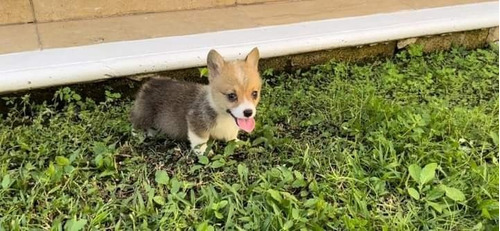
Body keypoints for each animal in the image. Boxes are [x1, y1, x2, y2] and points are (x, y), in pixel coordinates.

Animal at [130, 47, 262, 154]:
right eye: (231, 95)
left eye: (254, 93)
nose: (248, 112)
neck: (221, 113)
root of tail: (149, 83)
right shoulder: (196, 123)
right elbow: (200, 141)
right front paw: (204, 152)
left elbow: (231, 137)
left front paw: (238, 142)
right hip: (144, 115)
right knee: (136, 125)